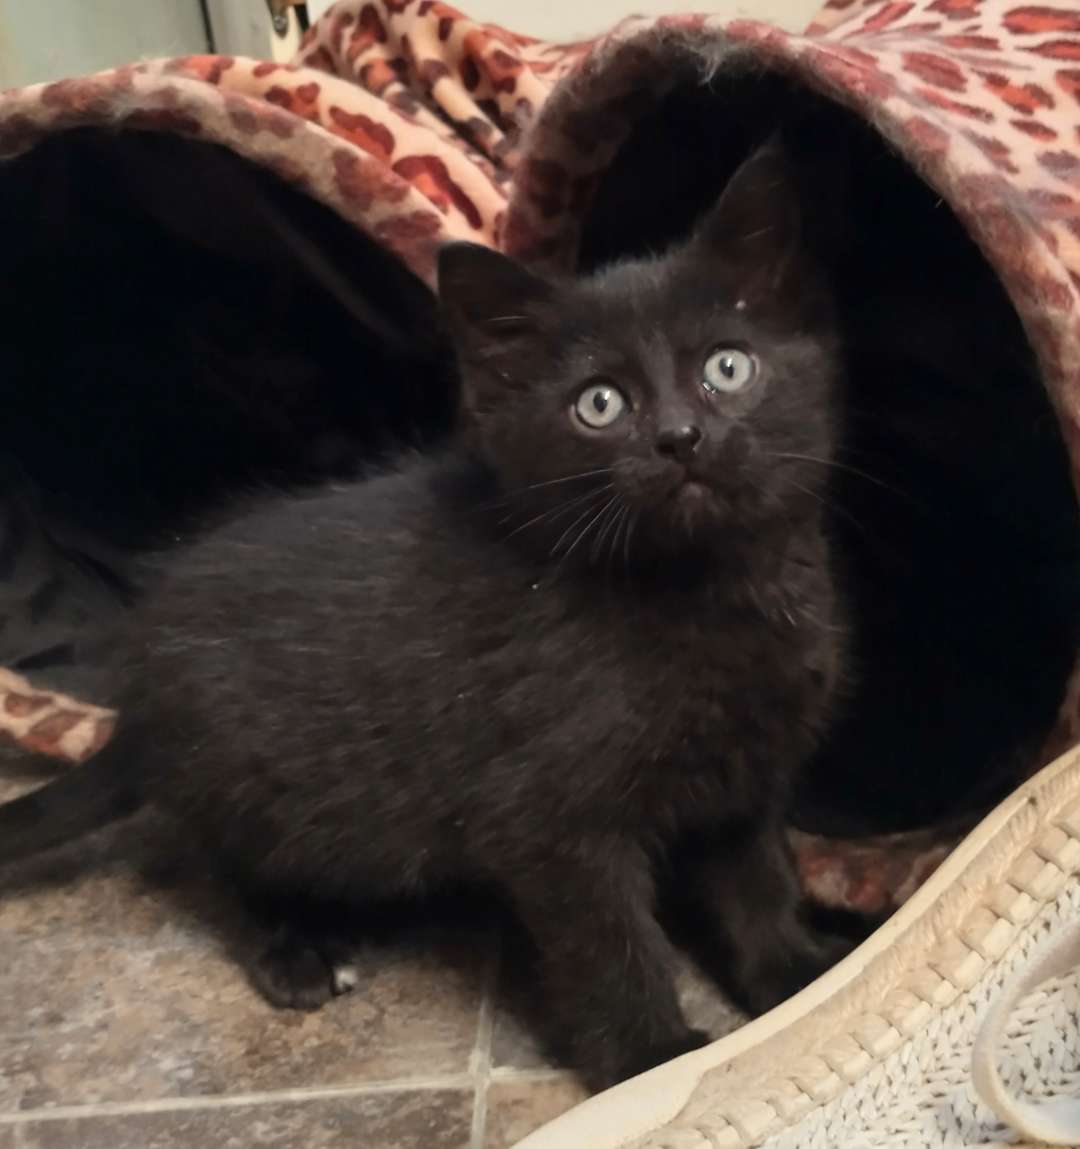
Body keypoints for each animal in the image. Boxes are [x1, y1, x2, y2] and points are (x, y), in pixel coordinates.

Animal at [0, 141, 845, 1084]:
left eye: (728, 367)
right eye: (600, 404)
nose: (680, 438)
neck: (704, 593)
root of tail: (140, 691)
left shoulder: (747, 770)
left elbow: (757, 882)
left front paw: (798, 978)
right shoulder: (548, 816)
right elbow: (609, 941)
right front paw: (652, 1059)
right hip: (261, 787)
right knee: (216, 860)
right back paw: (297, 948)